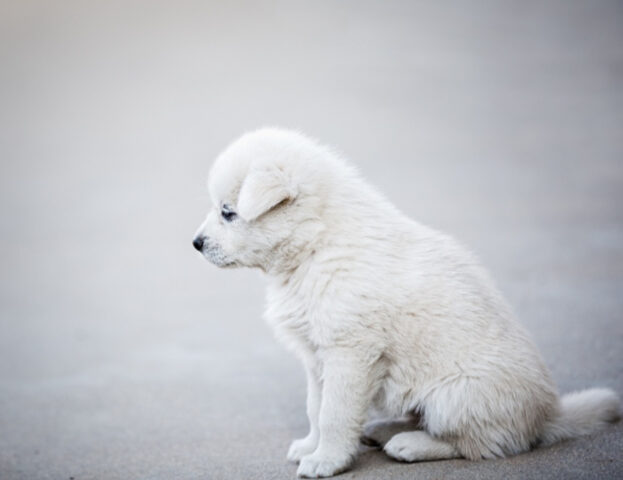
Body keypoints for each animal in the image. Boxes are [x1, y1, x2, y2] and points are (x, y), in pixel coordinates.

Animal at [193, 127, 620, 476]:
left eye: (228, 213)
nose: (195, 243)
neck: (316, 245)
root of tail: (547, 416)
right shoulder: (317, 356)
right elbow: (316, 407)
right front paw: (310, 446)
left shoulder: (349, 352)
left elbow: (334, 412)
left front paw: (326, 461)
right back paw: (383, 429)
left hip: (456, 396)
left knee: (481, 444)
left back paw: (410, 445)